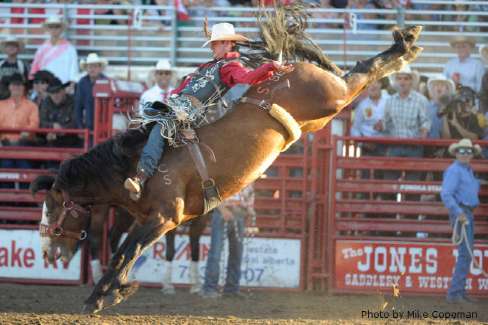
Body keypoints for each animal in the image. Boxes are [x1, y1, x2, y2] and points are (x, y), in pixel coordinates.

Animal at [29, 2, 424, 312]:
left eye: (52, 207)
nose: (47, 253)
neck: (131, 165)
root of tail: (288, 64)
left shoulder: (164, 218)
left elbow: (125, 252)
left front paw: (100, 296)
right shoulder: (152, 221)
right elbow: (124, 251)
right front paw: (116, 290)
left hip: (333, 96)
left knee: (363, 71)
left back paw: (405, 45)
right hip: (324, 111)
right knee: (354, 70)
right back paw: (406, 43)